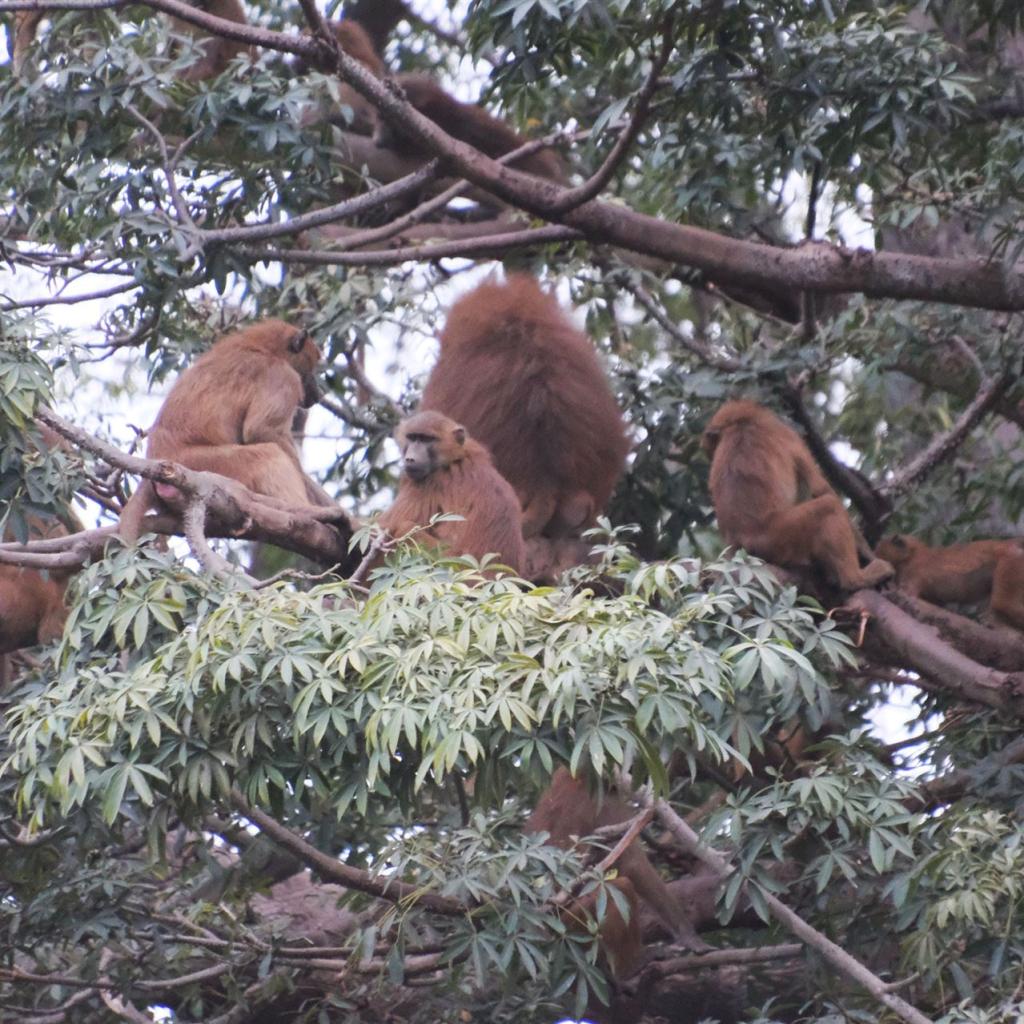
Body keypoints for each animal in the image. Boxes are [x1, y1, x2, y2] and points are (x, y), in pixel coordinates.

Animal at [119, 319, 337, 543]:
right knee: (268, 455)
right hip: (206, 465)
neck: (263, 348)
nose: (318, 394)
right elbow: (262, 431)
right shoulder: (282, 377)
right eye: (312, 368)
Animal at [377, 411, 525, 574]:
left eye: (427, 439)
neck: (458, 458)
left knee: (403, 528)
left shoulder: (429, 482)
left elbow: (385, 525)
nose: (410, 459)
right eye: (412, 437)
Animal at [701, 400, 894, 592]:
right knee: (828, 506)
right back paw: (854, 579)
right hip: (778, 537)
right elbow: (821, 489)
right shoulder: (789, 436)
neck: (742, 423)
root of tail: (743, 540)